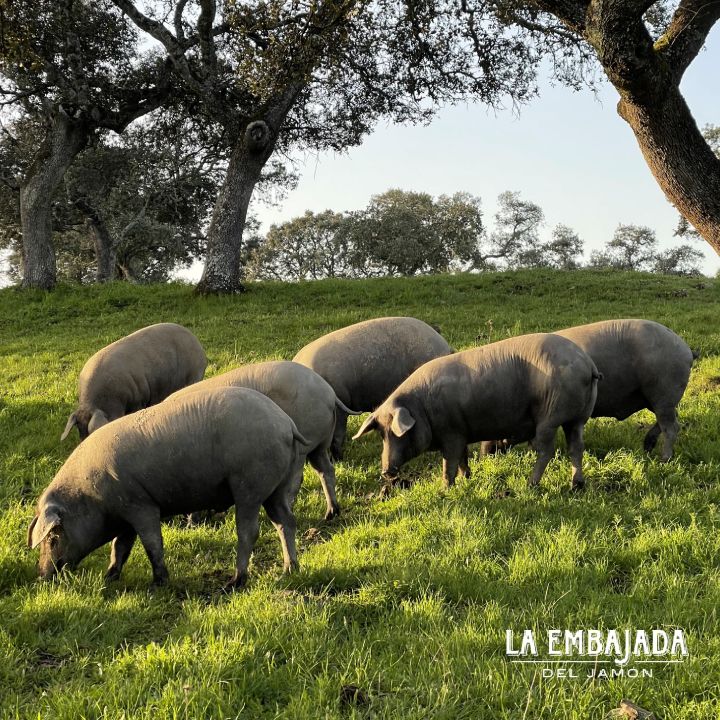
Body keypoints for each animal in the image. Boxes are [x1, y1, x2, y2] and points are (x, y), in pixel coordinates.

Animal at [30, 387, 310, 589]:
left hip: (249, 486)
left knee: (249, 531)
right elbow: (120, 548)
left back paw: (235, 581)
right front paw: (108, 579)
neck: (91, 497)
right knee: (285, 522)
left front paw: (158, 584)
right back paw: (290, 570)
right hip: (276, 488)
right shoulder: (125, 514)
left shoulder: (140, 505)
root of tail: (287, 424)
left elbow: (152, 543)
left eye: (53, 536)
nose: (42, 576)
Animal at [167, 361, 360, 520]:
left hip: (304, 443)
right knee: (326, 470)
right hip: (319, 443)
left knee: (298, 480)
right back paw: (330, 513)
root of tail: (329, 393)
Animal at [353, 333, 600, 490]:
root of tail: (588, 364)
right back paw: (576, 485)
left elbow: (449, 464)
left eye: (396, 433)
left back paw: (530, 484)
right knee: (576, 447)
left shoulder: (451, 433)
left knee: (546, 450)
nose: (385, 471)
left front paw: (445, 489)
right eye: (381, 434)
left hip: (550, 416)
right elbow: (463, 459)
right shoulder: (460, 432)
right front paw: (468, 479)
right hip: (578, 418)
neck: (422, 407)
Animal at [554, 319, 695, 460]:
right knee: (672, 418)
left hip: (663, 393)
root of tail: (687, 350)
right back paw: (647, 447)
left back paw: (663, 459)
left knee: (671, 427)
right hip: (655, 399)